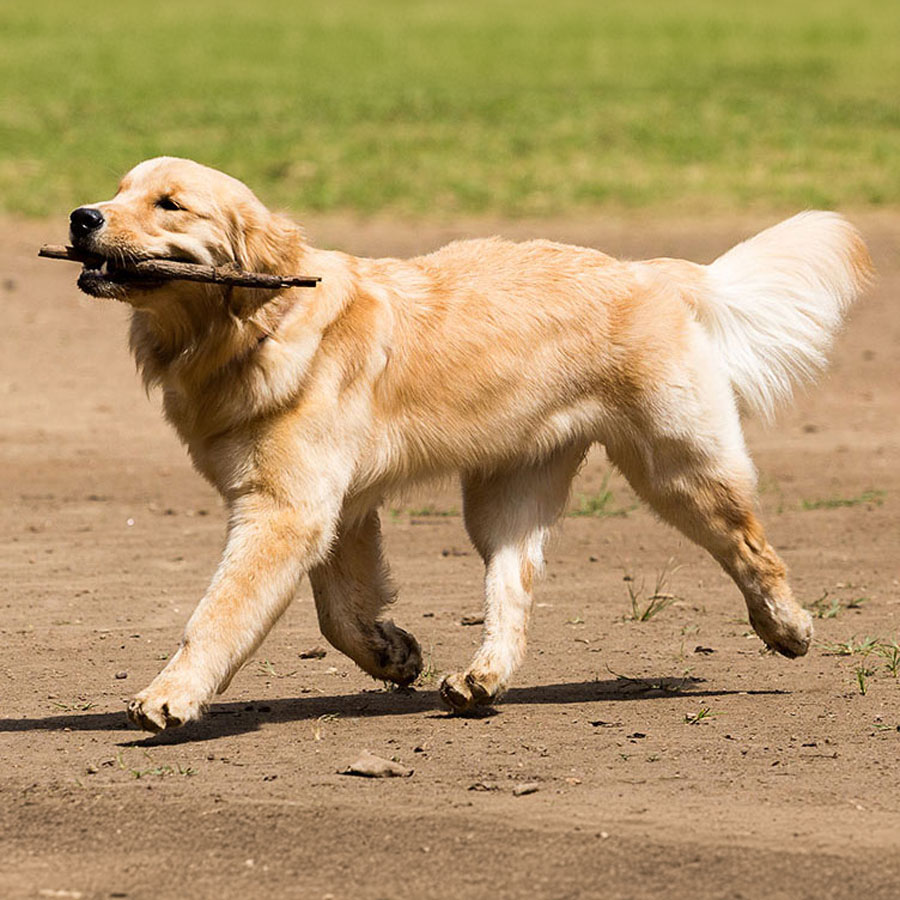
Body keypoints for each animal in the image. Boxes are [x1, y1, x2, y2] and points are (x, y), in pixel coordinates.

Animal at [65, 156, 872, 732]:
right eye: (120, 189)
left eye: (170, 203)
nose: (80, 216)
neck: (257, 324)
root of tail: (650, 270)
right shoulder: (336, 510)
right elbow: (338, 613)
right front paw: (392, 653)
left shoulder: (286, 510)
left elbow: (219, 613)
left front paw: (171, 695)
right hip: (504, 495)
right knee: (513, 586)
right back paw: (482, 678)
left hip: (678, 467)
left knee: (751, 547)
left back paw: (788, 627)